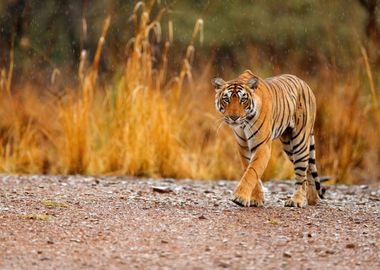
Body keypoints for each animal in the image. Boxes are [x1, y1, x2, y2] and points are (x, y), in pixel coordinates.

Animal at [212, 70, 322, 209]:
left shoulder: (262, 146)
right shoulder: (243, 147)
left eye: (243, 100)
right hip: (288, 145)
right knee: (308, 169)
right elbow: (250, 170)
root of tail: (306, 84)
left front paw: (240, 197)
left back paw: (297, 200)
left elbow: (252, 171)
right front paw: (256, 199)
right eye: (226, 99)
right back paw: (313, 199)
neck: (244, 124)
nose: (234, 117)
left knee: (301, 173)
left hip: (299, 141)